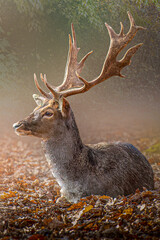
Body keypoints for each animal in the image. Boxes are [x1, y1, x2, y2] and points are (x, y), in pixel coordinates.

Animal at [13, 12, 154, 203]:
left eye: (48, 113)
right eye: (35, 109)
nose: (17, 124)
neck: (75, 184)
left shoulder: (113, 191)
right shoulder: (62, 194)